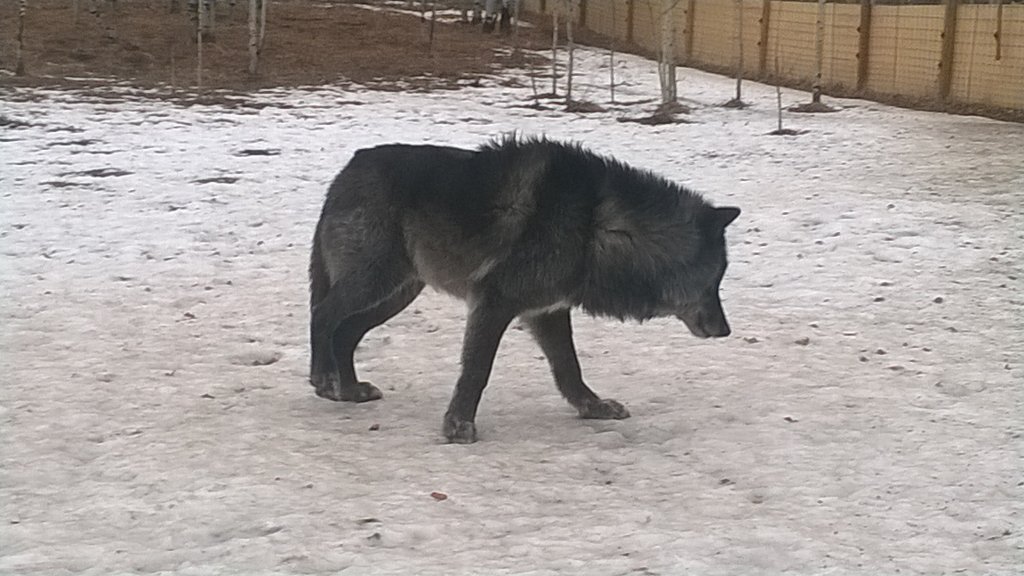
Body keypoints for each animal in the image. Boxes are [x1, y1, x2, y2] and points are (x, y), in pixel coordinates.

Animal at [309, 137, 740, 443]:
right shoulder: (494, 303)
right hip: (375, 281)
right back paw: (324, 379)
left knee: (344, 332)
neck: (599, 224)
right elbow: (477, 370)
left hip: (395, 294)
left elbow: (569, 367)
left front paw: (593, 407)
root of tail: (351, 165)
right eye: (716, 279)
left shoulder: (547, 311)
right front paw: (458, 426)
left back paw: (350, 390)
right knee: (323, 315)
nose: (726, 331)